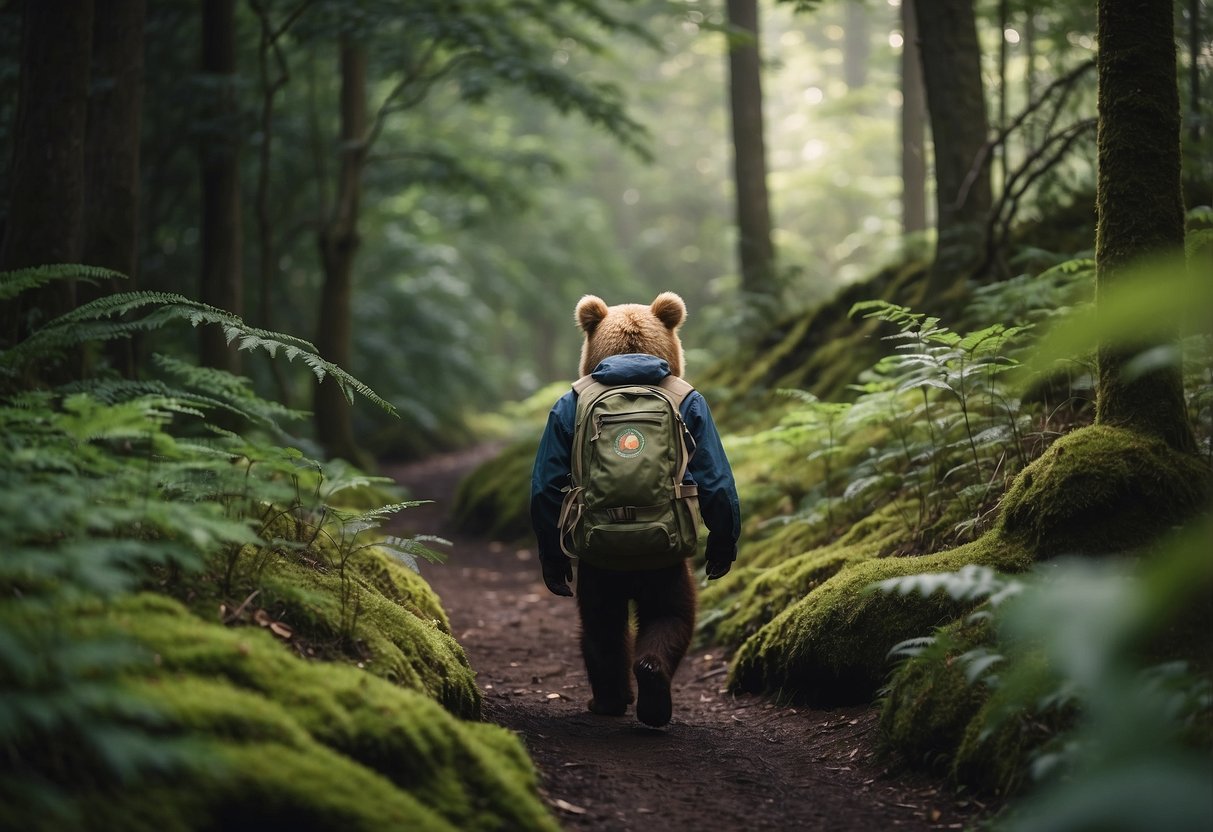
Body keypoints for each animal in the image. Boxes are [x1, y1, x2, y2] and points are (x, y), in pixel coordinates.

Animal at [528, 293, 737, 727]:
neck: (629, 362)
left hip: (640, 568)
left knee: (628, 620)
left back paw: (631, 693)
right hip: (632, 567)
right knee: (648, 618)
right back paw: (631, 696)